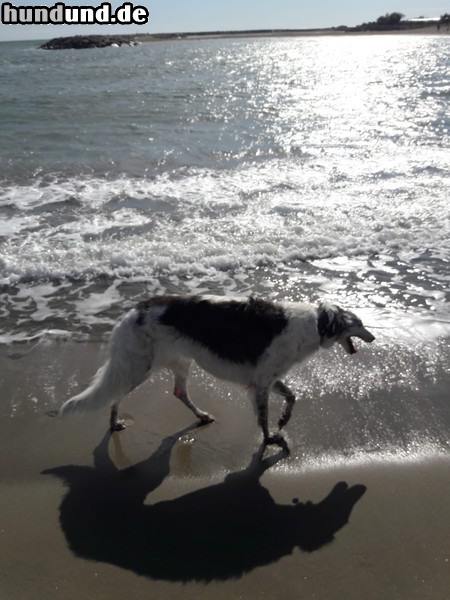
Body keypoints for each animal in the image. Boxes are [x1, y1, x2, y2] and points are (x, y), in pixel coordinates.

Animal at [59, 298, 376, 448]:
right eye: (360, 324)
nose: (373, 338)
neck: (316, 324)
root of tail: (129, 313)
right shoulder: (261, 384)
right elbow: (264, 418)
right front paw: (269, 439)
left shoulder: (266, 379)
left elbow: (292, 397)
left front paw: (283, 420)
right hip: (138, 367)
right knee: (116, 395)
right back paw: (114, 423)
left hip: (180, 362)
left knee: (178, 392)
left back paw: (201, 416)